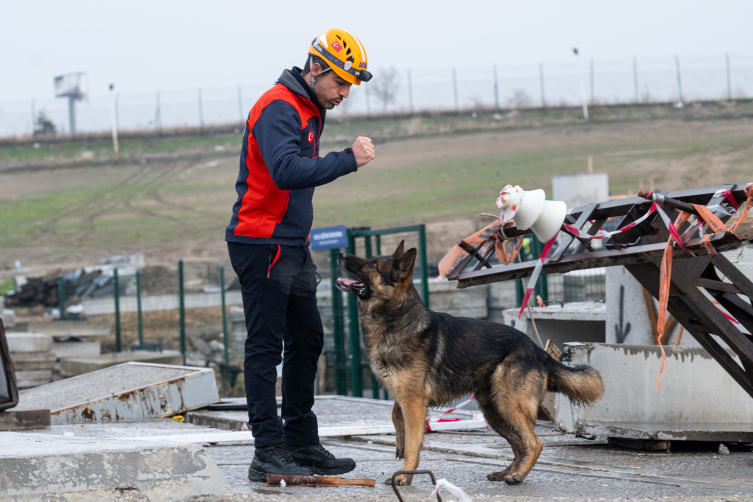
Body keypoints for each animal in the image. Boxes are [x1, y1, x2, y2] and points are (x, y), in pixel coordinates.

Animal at [338, 243, 604, 486]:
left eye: (373, 264)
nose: (340, 254)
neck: (397, 319)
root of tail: (537, 350)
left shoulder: (413, 402)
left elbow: (414, 442)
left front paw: (405, 475)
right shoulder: (404, 396)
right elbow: (395, 416)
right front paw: (399, 445)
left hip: (508, 404)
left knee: (534, 443)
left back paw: (517, 475)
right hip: (495, 411)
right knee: (520, 445)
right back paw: (507, 472)